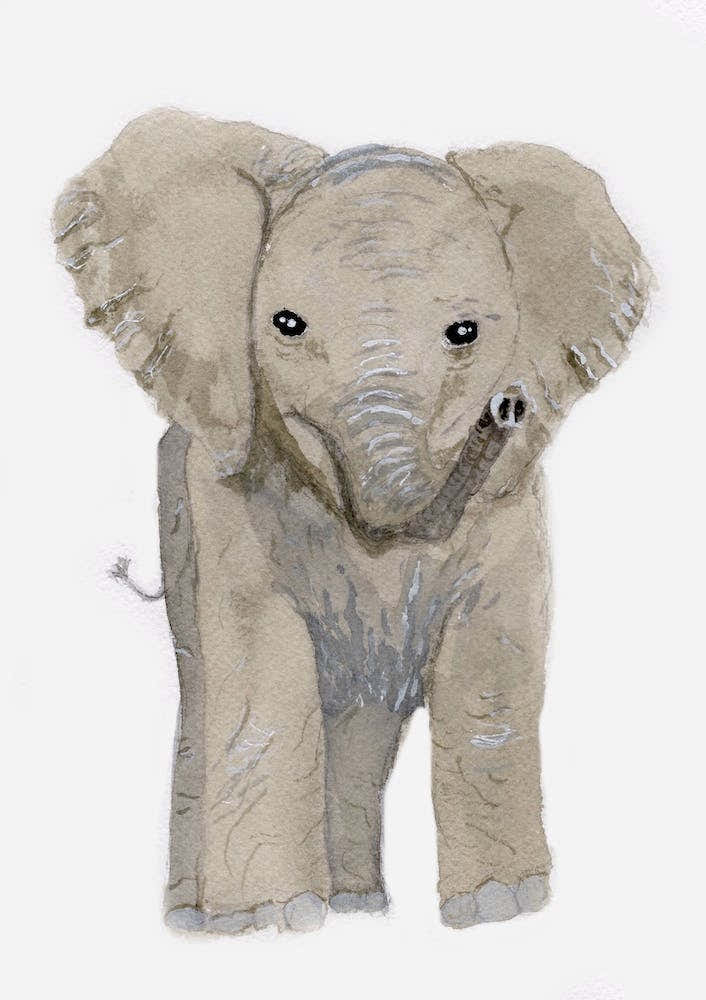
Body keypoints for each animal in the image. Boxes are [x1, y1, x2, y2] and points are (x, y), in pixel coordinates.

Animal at [53, 109, 651, 934]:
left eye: (465, 333)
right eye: (286, 324)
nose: (510, 406)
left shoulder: (511, 505)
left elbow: (491, 669)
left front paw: (500, 908)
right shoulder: (224, 497)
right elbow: (262, 669)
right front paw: (270, 922)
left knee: (360, 725)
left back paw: (358, 905)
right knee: (210, 694)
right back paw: (199, 921)